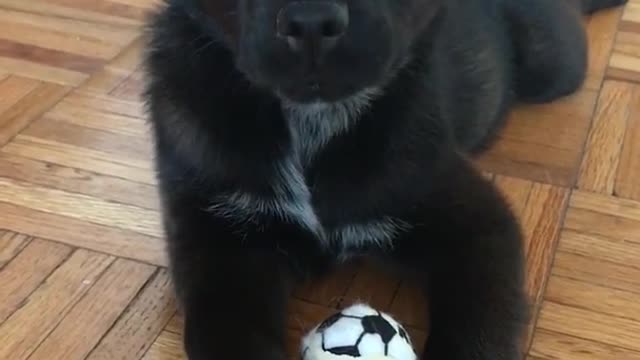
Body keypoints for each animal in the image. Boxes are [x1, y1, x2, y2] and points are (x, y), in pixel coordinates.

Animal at [144, 0, 624, 358]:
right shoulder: (221, 249)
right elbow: (226, 336)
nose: (312, 22)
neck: (312, 122)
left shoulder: (478, 222)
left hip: (555, 63)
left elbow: (480, 327)